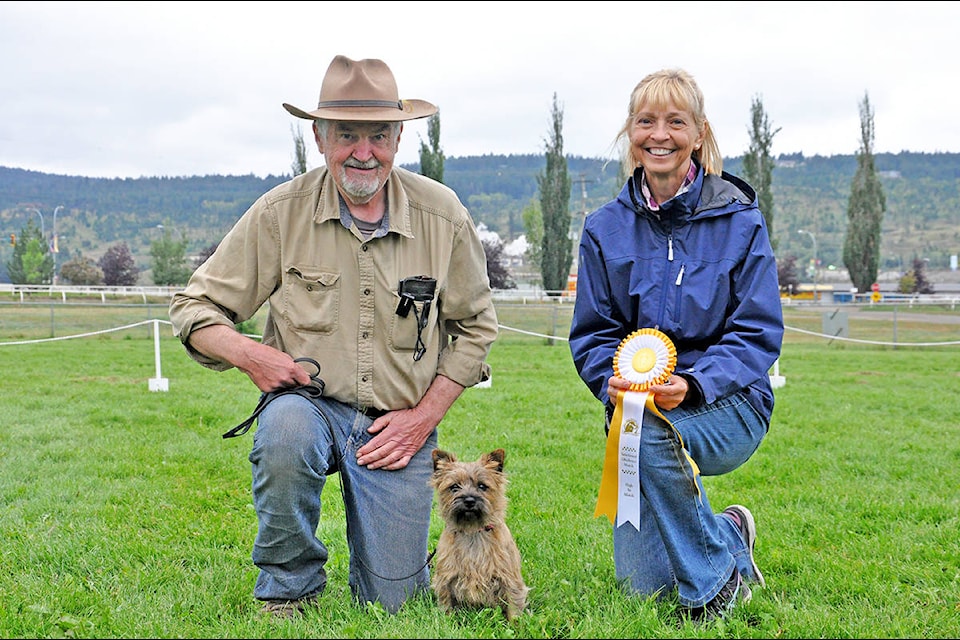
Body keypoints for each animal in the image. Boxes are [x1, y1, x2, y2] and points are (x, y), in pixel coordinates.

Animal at [432, 448, 528, 624]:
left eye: (482, 486)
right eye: (454, 487)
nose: (469, 500)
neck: (472, 531)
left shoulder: (509, 579)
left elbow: (514, 604)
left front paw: (516, 626)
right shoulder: (446, 579)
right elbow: (446, 603)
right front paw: (447, 622)